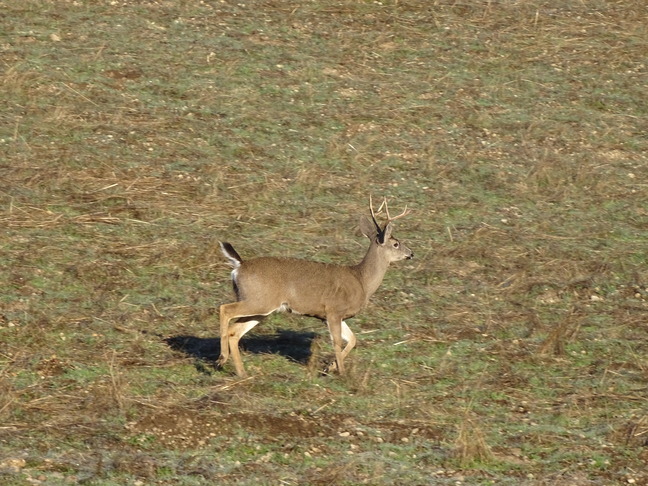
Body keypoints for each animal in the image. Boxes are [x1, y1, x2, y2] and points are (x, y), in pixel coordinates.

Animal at [215, 196, 412, 378]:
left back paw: (241, 372)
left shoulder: (330, 316)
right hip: (259, 300)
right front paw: (341, 372)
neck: (361, 281)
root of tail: (239, 265)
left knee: (234, 332)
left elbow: (353, 339)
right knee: (225, 309)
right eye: (396, 244)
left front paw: (330, 367)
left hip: (261, 307)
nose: (411, 253)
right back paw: (222, 358)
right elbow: (337, 342)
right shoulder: (333, 310)